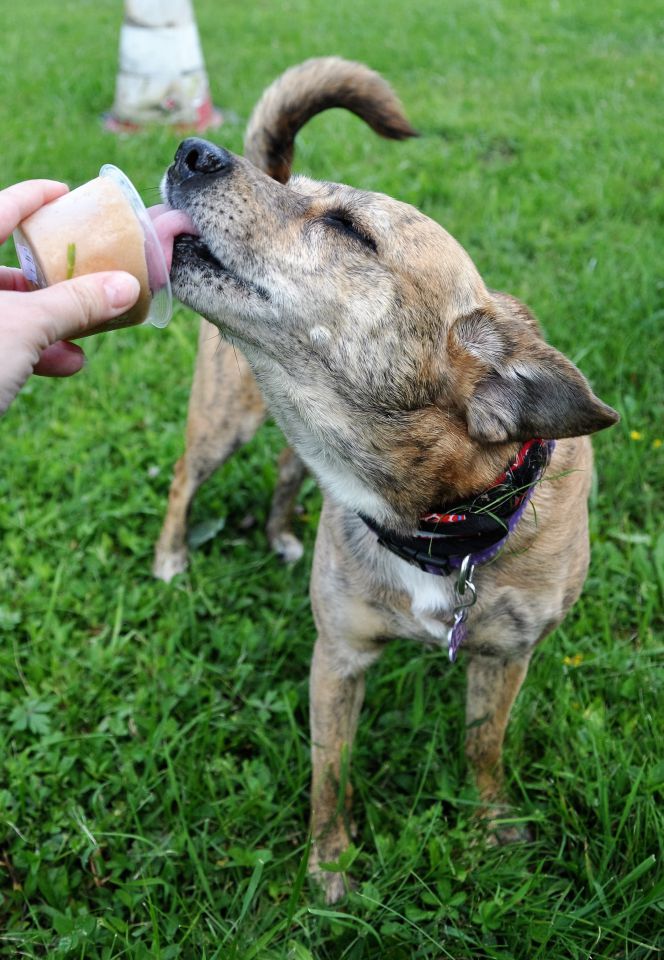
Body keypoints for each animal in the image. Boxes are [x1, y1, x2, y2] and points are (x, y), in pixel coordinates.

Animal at [154, 58, 616, 900]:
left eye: (347, 228)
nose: (191, 151)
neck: (437, 522)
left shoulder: (506, 659)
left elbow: (483, 750)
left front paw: (493, 831)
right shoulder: (338, 655)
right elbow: (328, 774)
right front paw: (329, 870)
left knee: (285, 472)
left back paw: (280, 534)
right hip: (223, 420)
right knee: (184, 480)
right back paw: (171, 557)